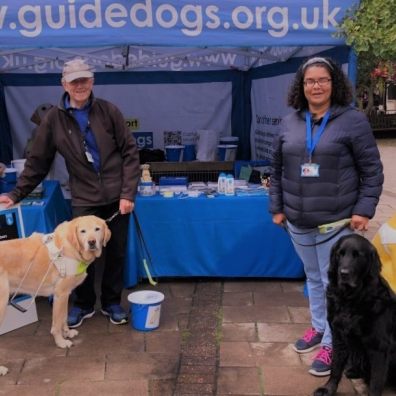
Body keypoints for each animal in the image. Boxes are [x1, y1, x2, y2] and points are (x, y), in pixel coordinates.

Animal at [312, 234, 396, 396]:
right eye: (340, 254)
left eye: (358, 256)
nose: (343, 273)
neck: (351, 300)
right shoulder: (338, 335)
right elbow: (336, 367)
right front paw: (328, 388)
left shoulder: (380, 346)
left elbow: (376, 381)